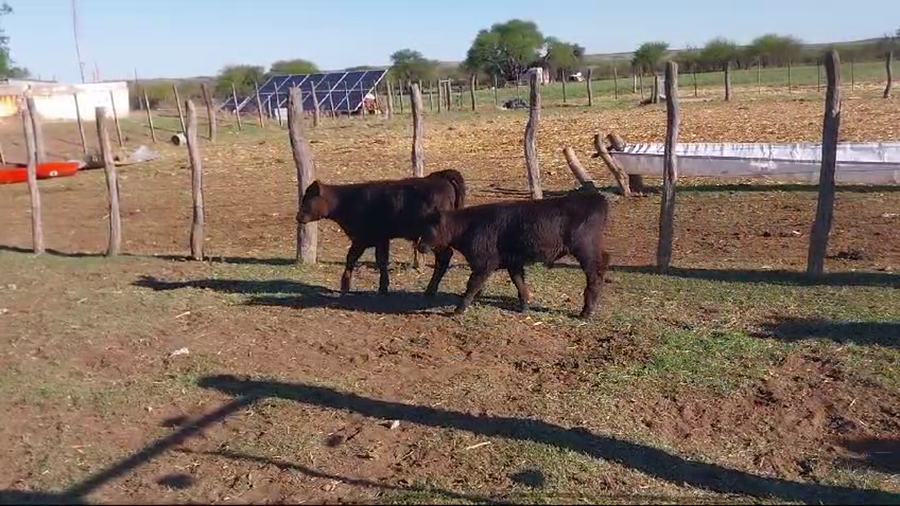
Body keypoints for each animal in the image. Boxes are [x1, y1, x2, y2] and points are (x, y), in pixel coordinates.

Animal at [297, 169, 466, 296]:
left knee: (444, 257)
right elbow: (382, 261)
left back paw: (430, 291)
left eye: (308, 199)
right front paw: (383, 287)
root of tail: (440, 178)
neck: (348, 201)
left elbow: (352, 258)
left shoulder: (362, 239)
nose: (298, 216)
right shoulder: (381, 239)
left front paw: (345, 286)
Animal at [416, 192, 611, 318]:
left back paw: (586, 312)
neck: (469, 226)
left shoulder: (484, 263)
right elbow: (519, 282)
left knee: (595, 275)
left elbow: (472, 285)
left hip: (586, 250)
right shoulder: (513, 262)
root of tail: (596, 198)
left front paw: (459, 309)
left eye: (429, 229)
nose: (419, 246)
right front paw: (524, 306)